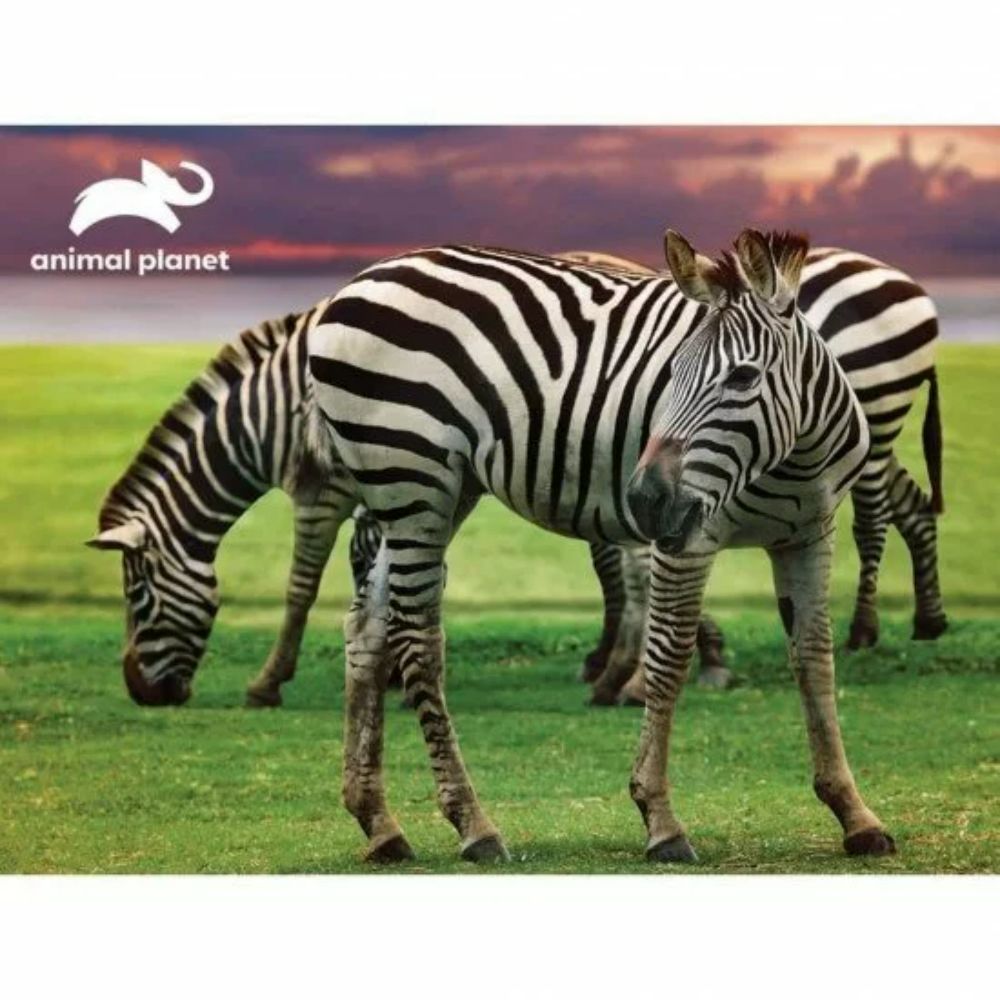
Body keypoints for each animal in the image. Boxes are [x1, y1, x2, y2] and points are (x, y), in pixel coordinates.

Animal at [299, 227, 894, 863]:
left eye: (743, 378)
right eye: (670, 372)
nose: (645, 499)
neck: (792, 457)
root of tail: (356, 283)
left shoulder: (809, 536)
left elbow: (814, 661)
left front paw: (854, 813)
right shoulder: (687, 539)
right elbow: (668, 659)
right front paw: (661, 820)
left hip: (438, 491)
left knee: (369, 626)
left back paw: (379, 823)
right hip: (412, 478)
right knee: (418, 638)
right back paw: (474, 826)